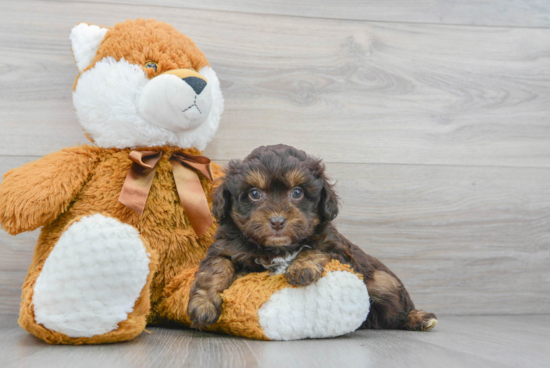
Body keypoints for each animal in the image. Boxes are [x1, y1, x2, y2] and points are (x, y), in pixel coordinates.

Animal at [190, 145, 440, 332]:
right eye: (254, 194)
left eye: (297, 193)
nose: (278, 222)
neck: (276, 249)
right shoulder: (225, 248)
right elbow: (215, 269)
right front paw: (202, 305)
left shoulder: (336, 247)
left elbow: (314, 248)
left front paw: (301, 269)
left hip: (382, 282)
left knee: (396, 311)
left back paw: (418, 318)